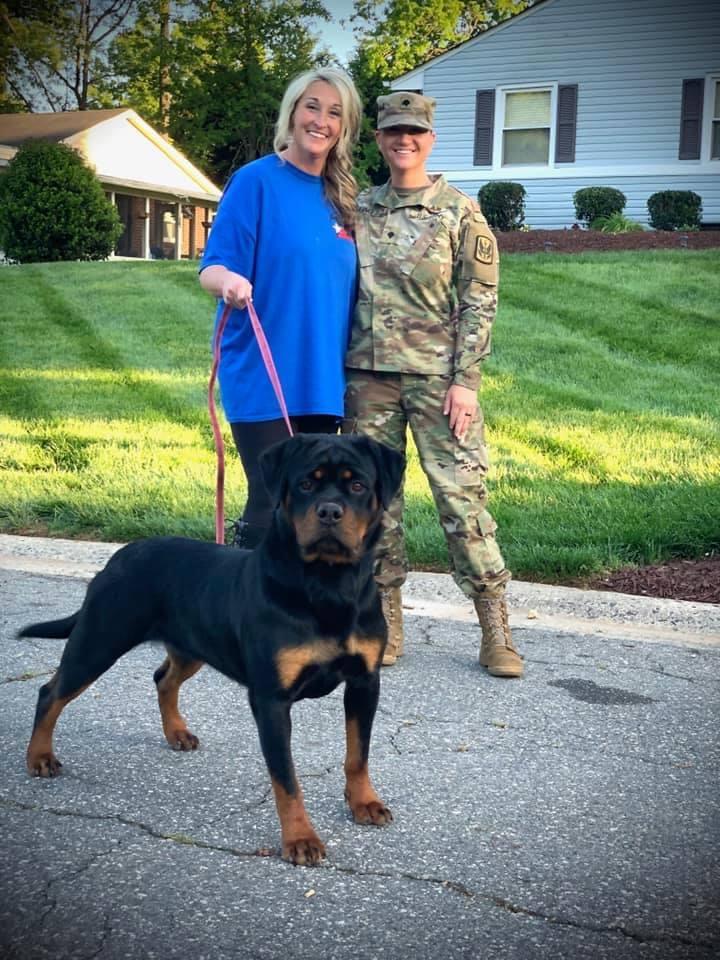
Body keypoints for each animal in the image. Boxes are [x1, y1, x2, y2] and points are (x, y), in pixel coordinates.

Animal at [18, 433, 405, 866]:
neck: (328, 585)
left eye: (357, 486)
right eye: (306, 484)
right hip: (99, 641)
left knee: (163, 678)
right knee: (51, 692)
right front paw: (300, 838)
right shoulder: (271, 699)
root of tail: (120, 554)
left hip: (191, 646)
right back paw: (39, 757)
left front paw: (364, 803)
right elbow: (286, 779)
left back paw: (177, 733)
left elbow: (358, 754)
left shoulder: (364, 683)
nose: (329, 511)